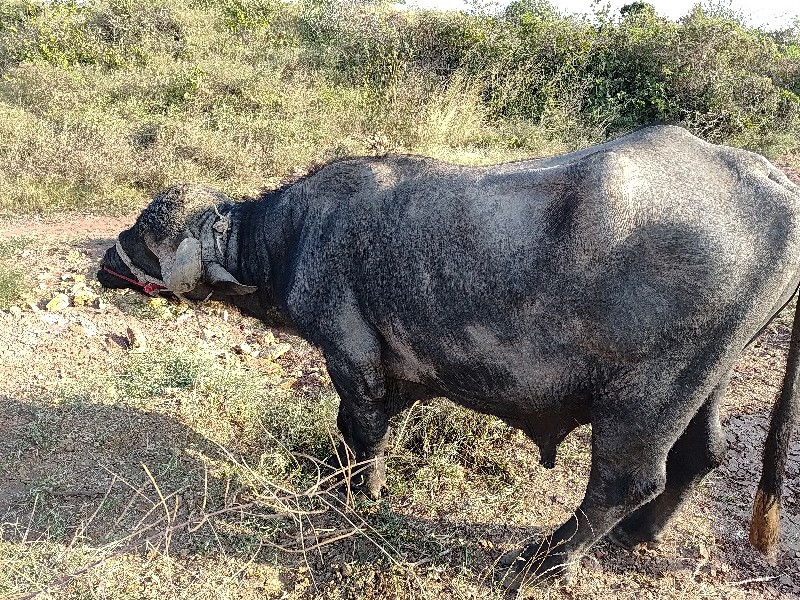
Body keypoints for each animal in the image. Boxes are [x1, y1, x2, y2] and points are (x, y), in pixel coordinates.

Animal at [97, 124, 796, 588]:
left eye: (146, 233)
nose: (106, 259)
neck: (291, 237)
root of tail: (774, 185)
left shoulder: (352, 356)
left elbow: (364, 431)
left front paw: (361, 495)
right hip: (706, 381)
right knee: (703, 456)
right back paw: (637, 534)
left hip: (648, 397)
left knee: (625, 480)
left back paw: (544, 558)